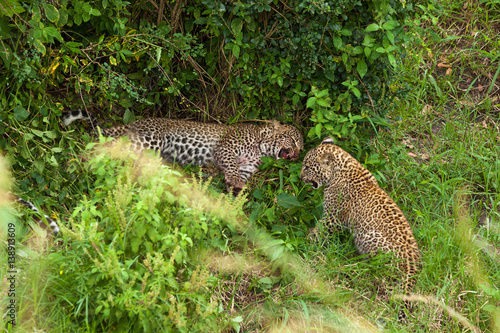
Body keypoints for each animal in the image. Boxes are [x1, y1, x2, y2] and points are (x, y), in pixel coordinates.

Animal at [62, 109, 304, 193]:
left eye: (302, 148)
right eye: (293, 140)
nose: (297, 155)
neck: (260, 147)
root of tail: (135, 122)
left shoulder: (247, 167)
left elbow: (238, 177)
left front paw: (235, 194)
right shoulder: (226, 147)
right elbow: (231, 165)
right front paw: (234, 183)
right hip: (149, 140)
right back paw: (76, 163)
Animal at [300, 136, 422, 320]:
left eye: (307, 167)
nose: (300, 177)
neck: (342, 169)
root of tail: (412, 265)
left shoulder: (333, 218)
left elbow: (318, 233)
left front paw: (301, 243)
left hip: (368, 236)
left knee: (376, 272)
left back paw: (353, 265)